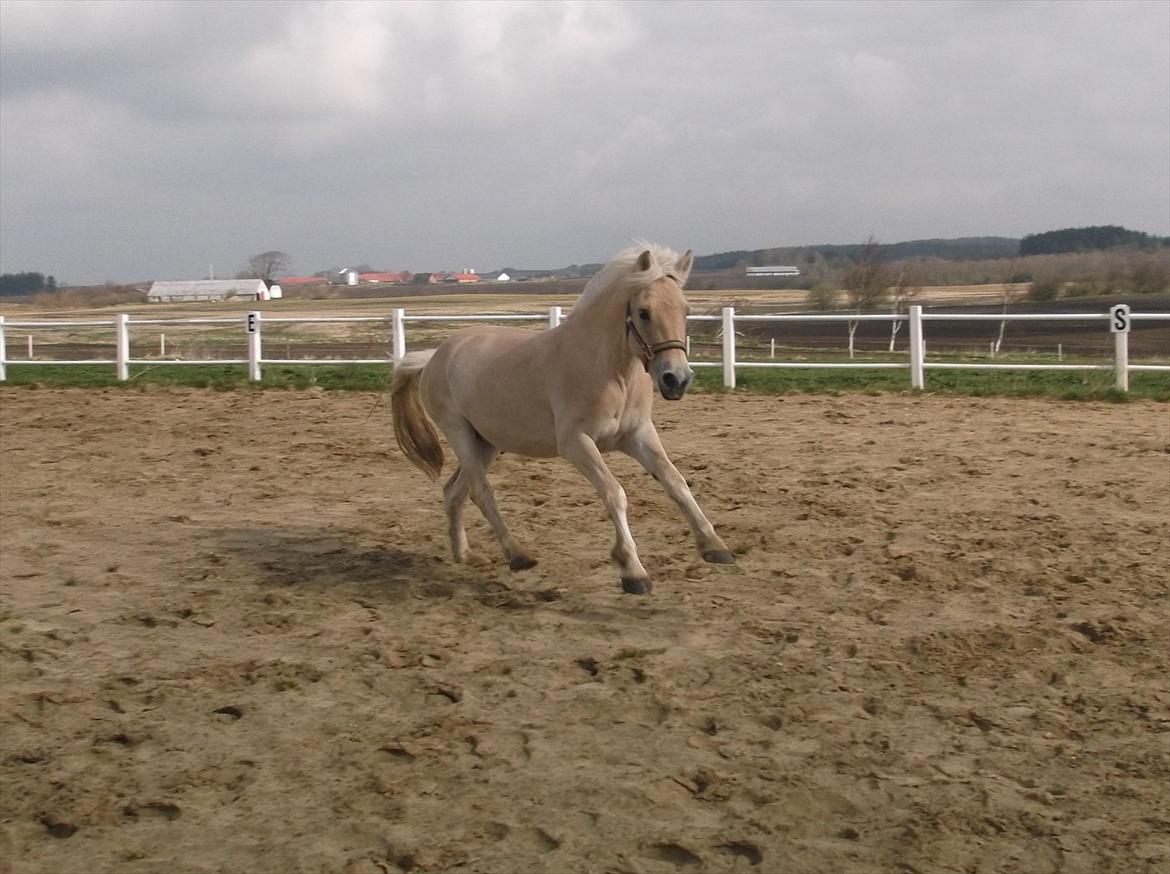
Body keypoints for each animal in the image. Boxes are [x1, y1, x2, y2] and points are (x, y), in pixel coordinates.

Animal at [397, 242, 734, 594]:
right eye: (644, 312)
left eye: (685, 310)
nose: (676, 380)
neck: (612, 372)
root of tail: (435, 356)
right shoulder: (575, 443)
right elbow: (615, 493)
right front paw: (633, 571)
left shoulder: (638, 435)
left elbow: (676, 482)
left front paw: (715, 546)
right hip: (459, 433)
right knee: (481, 492)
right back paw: (518, 555)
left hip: (487, 441)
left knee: (455, 491)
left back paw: (464, 555)